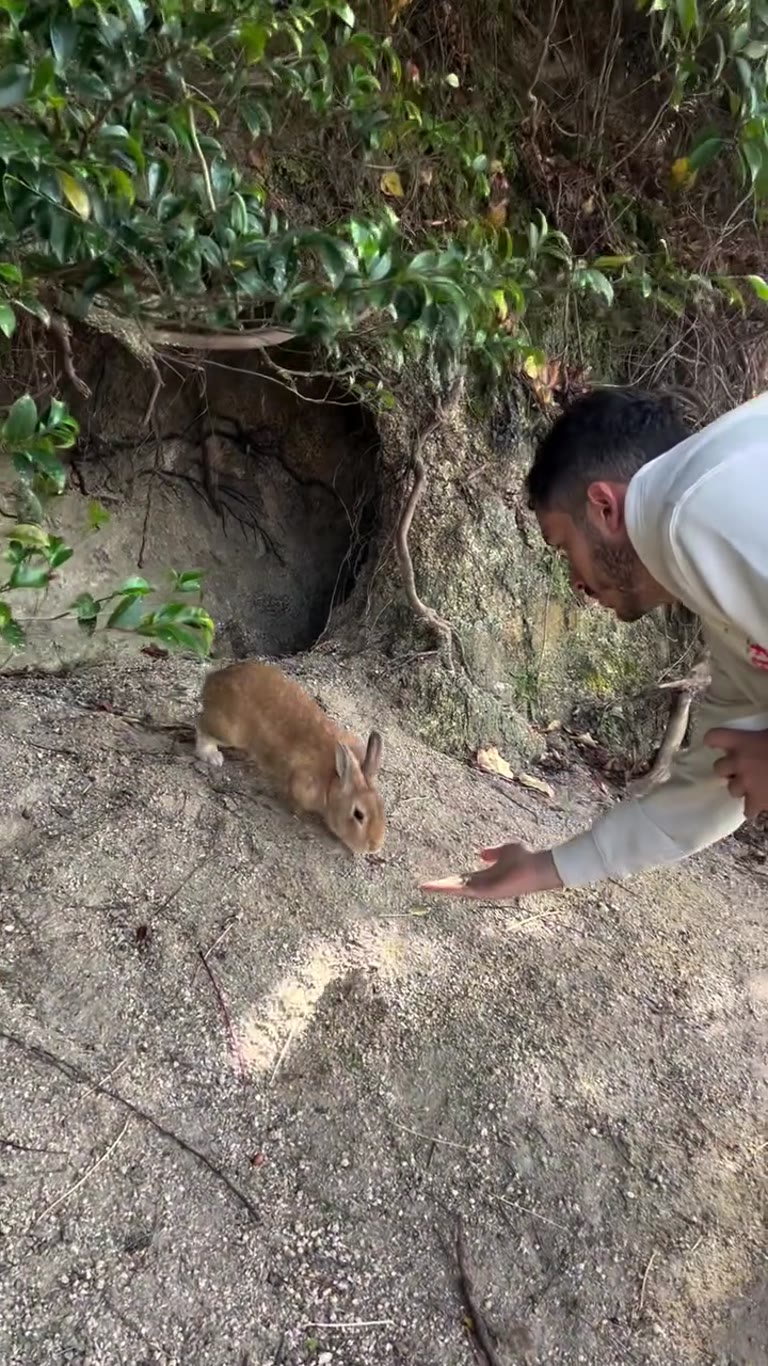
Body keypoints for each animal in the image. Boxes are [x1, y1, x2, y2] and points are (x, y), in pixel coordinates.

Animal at [195, 660, 385, 855]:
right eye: (358, 814)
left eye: (382, 808)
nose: (375, 846)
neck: (333, 781)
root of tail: (212, 680)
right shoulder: (302, 783)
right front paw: (299, 814)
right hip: (229, 731)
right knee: (201, 726)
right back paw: (212, 756)